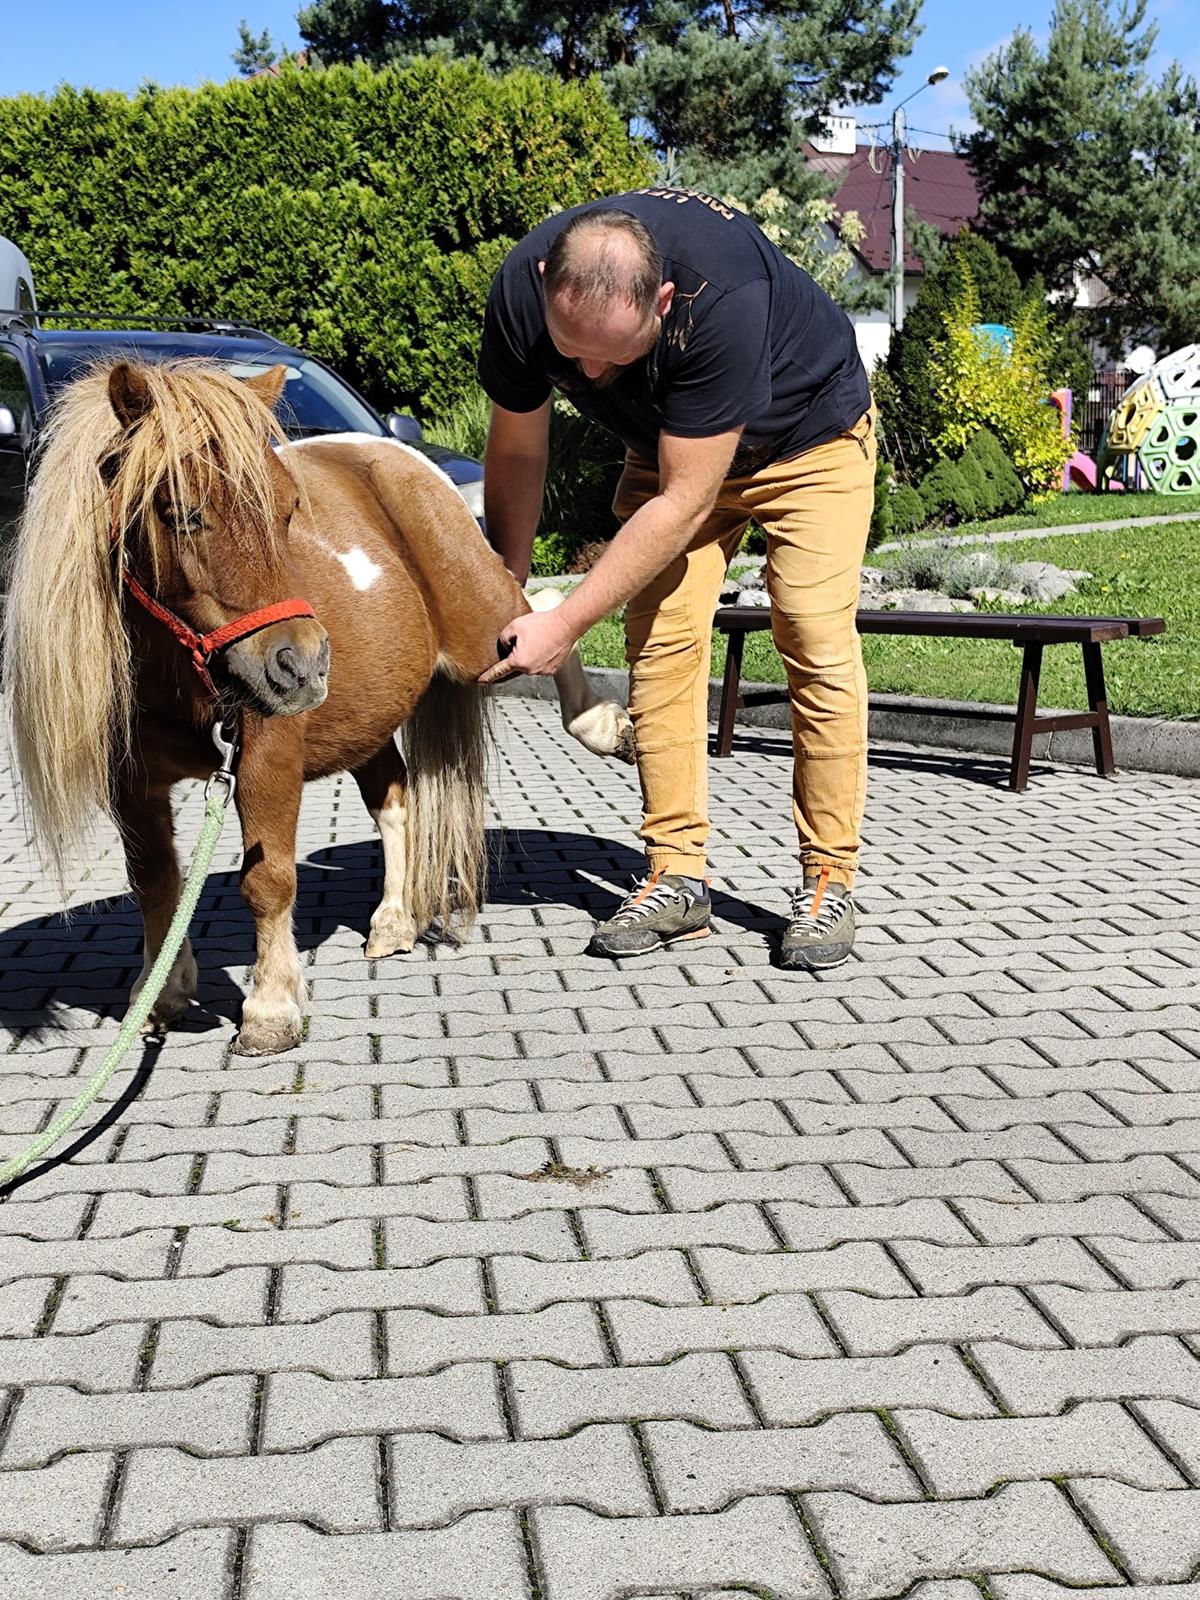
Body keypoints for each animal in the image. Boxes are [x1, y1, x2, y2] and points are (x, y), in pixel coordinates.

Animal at [3, 359, 634, 1056]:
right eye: (182, 514)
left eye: (286, 512)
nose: (301, 666)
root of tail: (404, 460)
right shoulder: (132, 786)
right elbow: (155, 884)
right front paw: (160, 994)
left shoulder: (265, 761)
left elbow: (269, 880)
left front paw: (271, 1009)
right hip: (368, 718)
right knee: (395, 798)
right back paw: (393, 923)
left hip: (482, 634)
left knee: (544, 615)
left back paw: (607, 727)